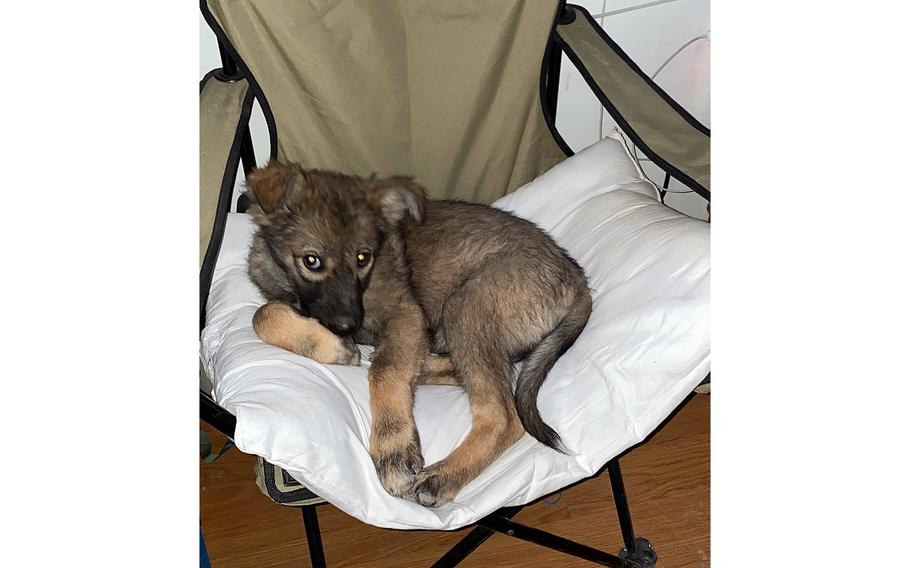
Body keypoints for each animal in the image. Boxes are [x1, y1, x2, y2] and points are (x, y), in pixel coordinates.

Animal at [246, 163, 596, 506]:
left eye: (363, 257)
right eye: (311, 261)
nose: (347, 327)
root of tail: (577, 279)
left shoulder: (405, 313)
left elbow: (386, 371)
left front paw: (393, 449)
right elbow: (263, 315)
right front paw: (333, 347)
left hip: (467, 303)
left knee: (503, 414)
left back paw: (444, 475)